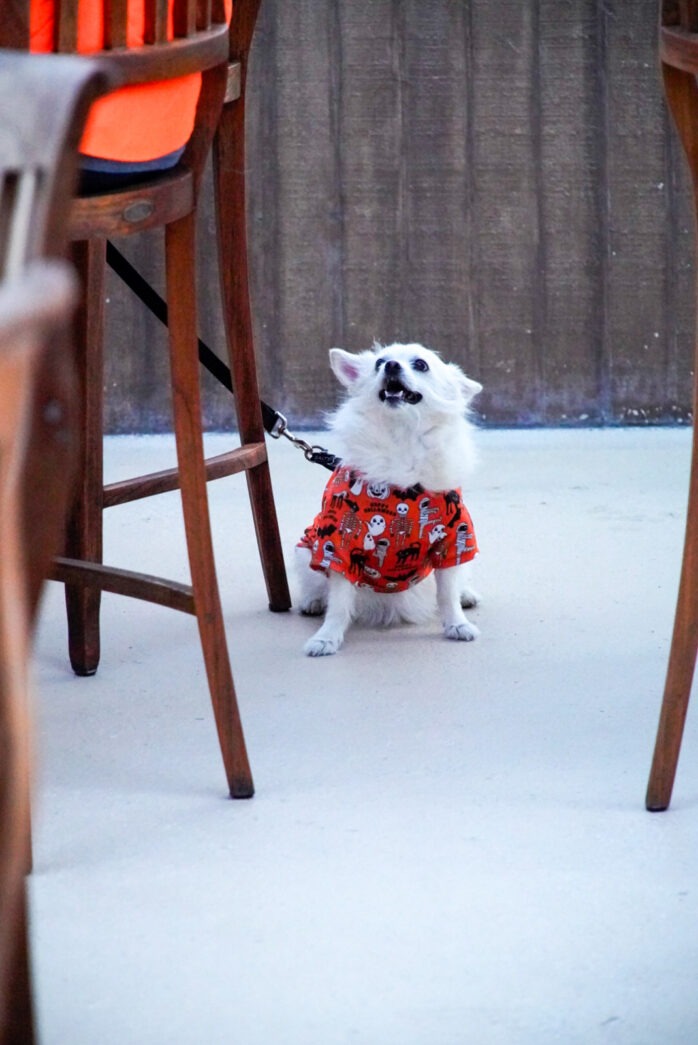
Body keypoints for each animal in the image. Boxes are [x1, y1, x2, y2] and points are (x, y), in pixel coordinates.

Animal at [292, 342, 480, 652]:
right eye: (379, 363)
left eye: (421, 364)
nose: (391, 365)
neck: (401, 437)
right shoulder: (340, 547)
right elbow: (339, 602)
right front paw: (326, 637)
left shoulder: (452, 539)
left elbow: (447, 593)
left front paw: (457, 624)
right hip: (306, 549)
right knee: (316, 583)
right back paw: (313, 601)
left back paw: (466, 594)